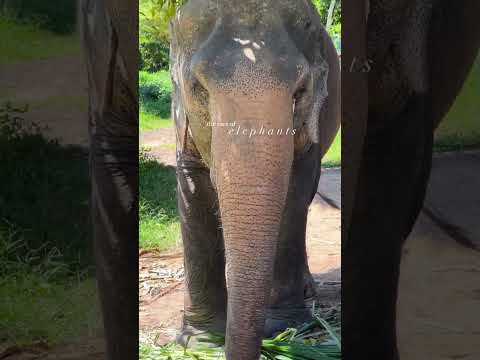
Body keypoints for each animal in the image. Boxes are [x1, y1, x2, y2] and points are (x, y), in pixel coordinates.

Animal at [169, 1, 342, 358]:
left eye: (300, 90)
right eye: (200, 89)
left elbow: (294, 192)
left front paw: (286, 329)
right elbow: (192, 190)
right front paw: (201, 341)